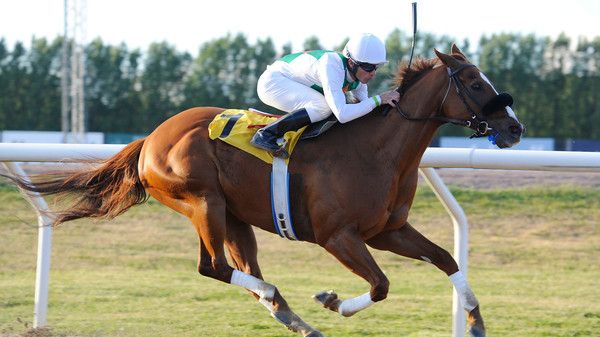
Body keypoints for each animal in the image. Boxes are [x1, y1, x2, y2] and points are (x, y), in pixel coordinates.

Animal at [7, 45, 520, 336]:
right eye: (474, 82)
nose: (515, 129)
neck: (376, 151)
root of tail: (151, 138)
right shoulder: (339, 237)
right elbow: (380, 285)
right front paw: (332, 301)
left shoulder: (387, 230)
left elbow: (446, 259)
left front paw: (475, 320)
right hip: (203, 202)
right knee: (214, 267)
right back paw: (283, 300)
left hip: (234, 216)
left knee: (238, 268)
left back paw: (292, 317)